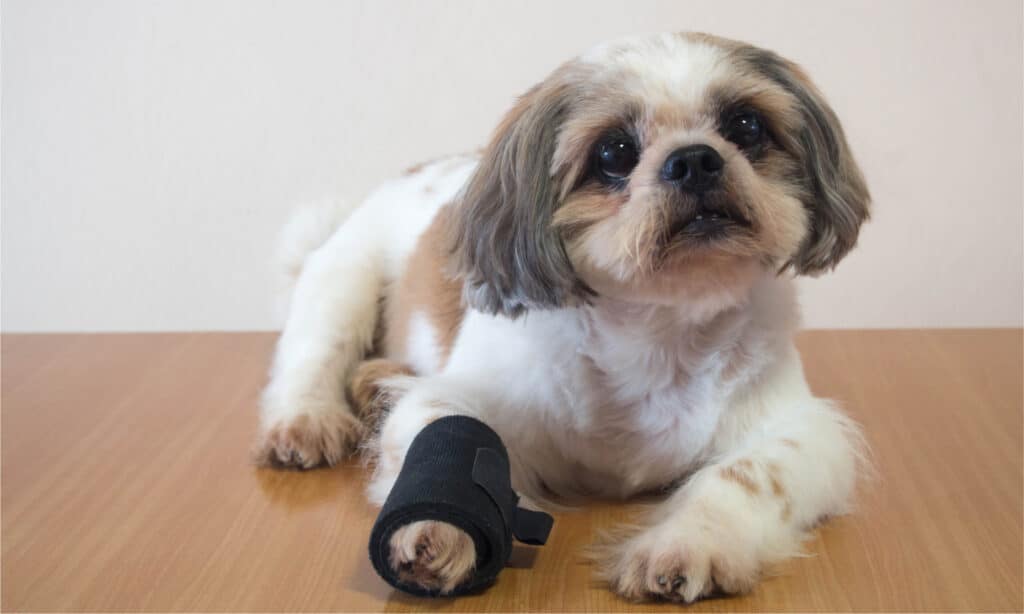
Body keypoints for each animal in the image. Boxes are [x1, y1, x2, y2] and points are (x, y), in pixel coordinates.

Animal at [256, 31, 872, 601]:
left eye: (746, 126)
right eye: (614, 153)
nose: (695, 158)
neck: (658, 331)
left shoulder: (798, 427)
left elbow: (748, 475)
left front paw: (691, 540)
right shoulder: (461, 396)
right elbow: (446, 432)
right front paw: (440, 527)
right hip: (344, 279)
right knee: (315, 355)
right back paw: (309, 419)